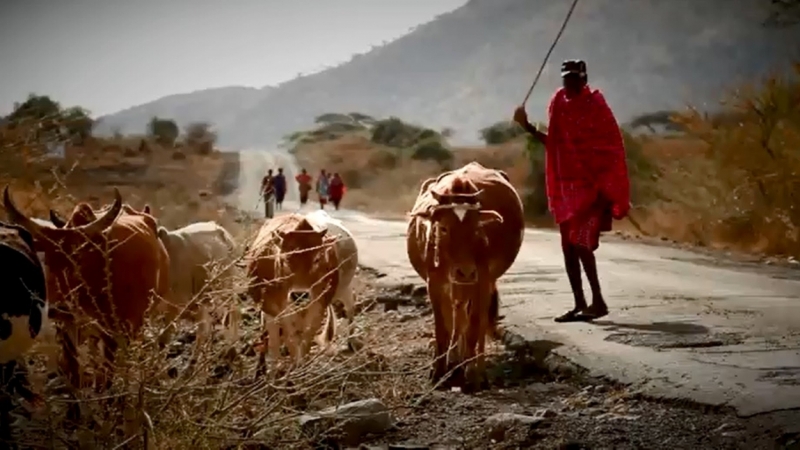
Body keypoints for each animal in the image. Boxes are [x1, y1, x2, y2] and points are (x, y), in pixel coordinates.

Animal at [2, 185, 169, 394]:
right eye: (47, 259)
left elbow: (109, 378)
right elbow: (73, 374)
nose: (58, 308)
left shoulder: (116, 331)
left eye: (78, 257)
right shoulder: (68, 329)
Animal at [247, 213, 340, 370]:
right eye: (285, 260)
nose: (299, 295)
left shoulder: (319, 307)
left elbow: (306, 339)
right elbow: (290, 339)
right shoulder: (280, 311)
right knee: (271, 338)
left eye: (317, 258)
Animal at [406, 161, 524, 390]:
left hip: (483, 282)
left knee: (476, 321)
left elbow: (474, 327)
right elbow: (442, 327)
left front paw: (471, 376)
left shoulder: (482, 279)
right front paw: (438, 371)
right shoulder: (434, 283)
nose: (466, 271)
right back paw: (454, 363)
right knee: (458, 313)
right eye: (443, 228)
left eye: (477, 228)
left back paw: (475, 370)